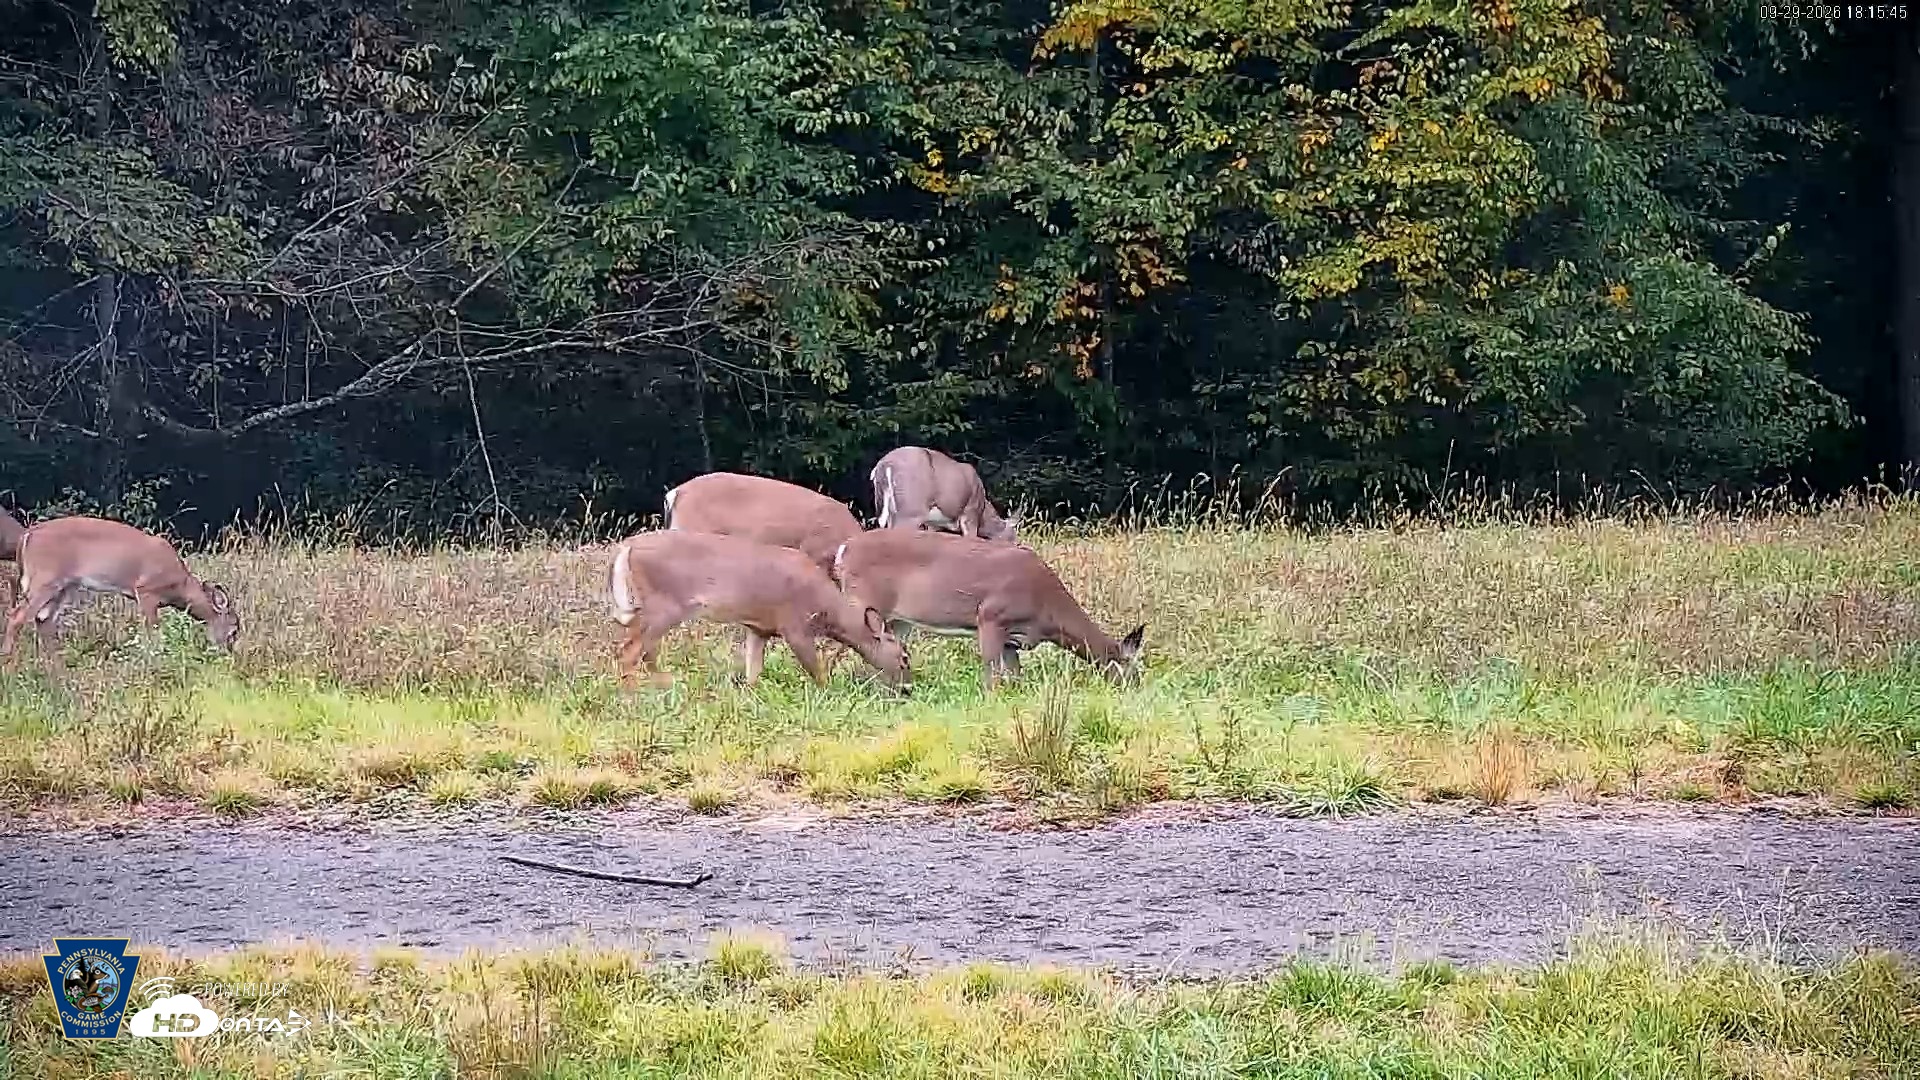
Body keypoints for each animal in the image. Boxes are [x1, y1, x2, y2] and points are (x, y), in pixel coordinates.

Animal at [1, 516, 241, 671]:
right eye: (234, 627)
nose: (230, 654)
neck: (179, 585)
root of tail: (27, 535)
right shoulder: (146, 591)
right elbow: (153, 632)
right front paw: (155, 660)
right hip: (45, 577)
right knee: (17, 615)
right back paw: (8, 661)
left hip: (64, 586)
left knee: (43, 619)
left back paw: (55, 667)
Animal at [609, 528, 909, 692]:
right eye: (904, 657)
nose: (907, 687)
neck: (828, 611)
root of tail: (627, 547)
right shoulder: (794, 625)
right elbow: (817, 672)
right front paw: (829, 693)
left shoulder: (759, 628)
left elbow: (753, 671)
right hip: (666, 605)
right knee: (630, 651)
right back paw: (634, 696)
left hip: (646, 608)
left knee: (641, 649)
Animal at [831, 528, 1143, 689]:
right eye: (1133, 671)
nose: (1138, 690)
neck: (1047, 609)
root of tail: (843, 549)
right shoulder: (991, 615)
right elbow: (991, 674)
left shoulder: (1013, 640)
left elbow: (1015, 678)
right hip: (862, 601)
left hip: (898, 621)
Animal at [870, 446, 1018, 541]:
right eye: (1012, 536)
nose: (1016, 543)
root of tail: (884, 465)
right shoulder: (970, 512)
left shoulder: (934, 525)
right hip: (911, 509)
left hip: (886, 509)